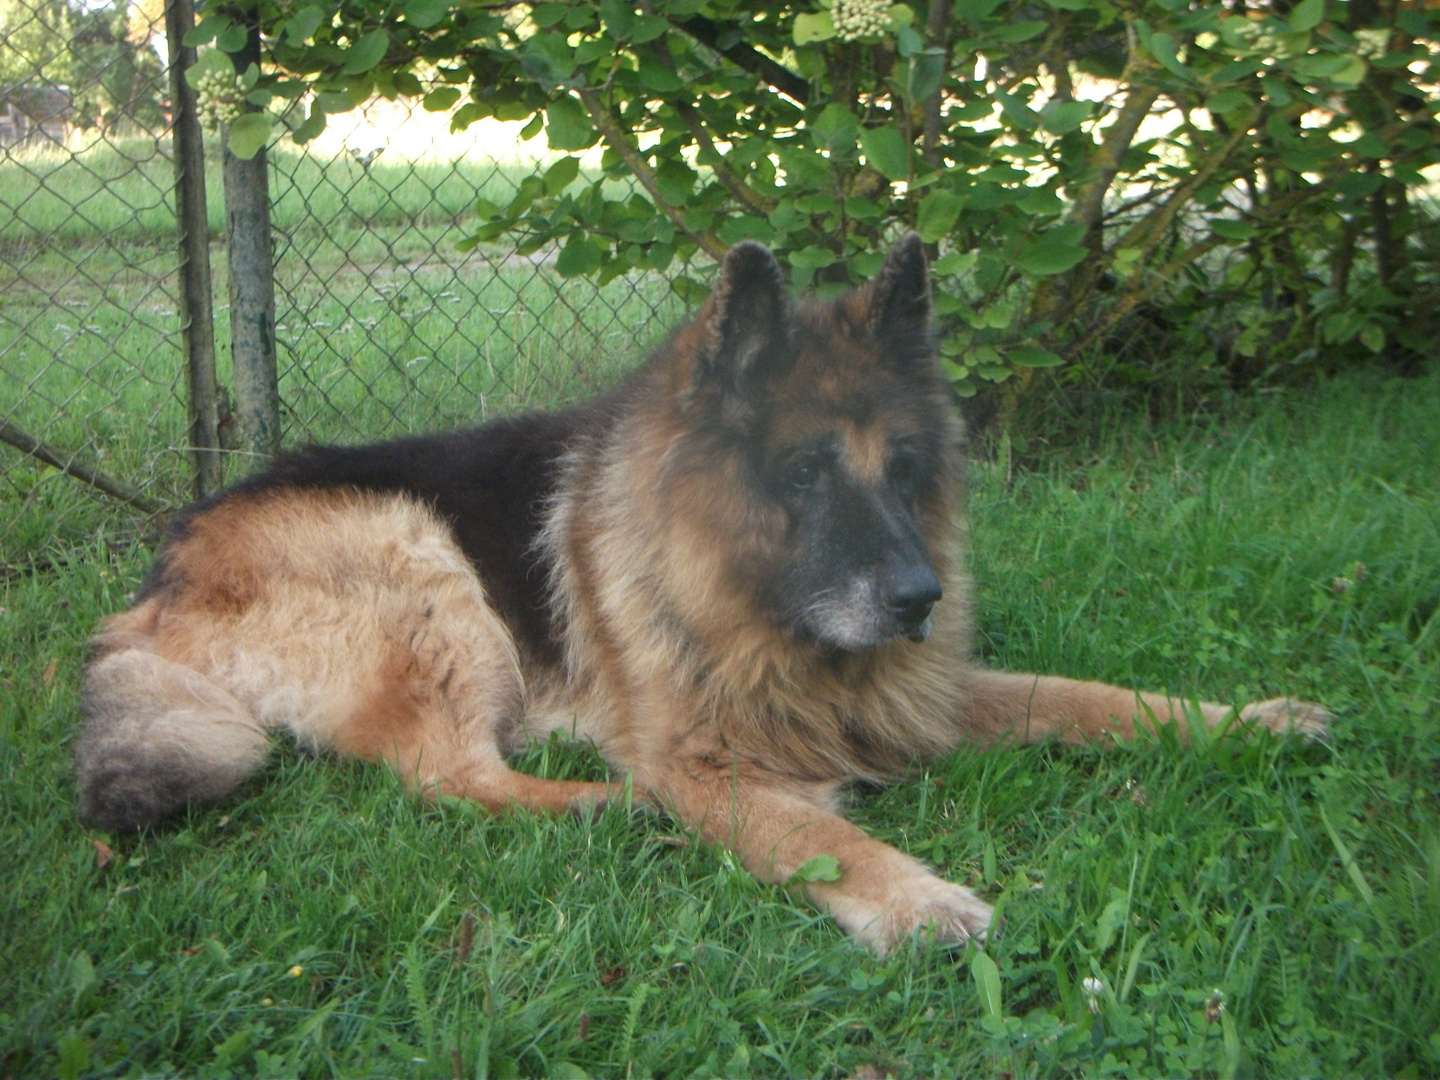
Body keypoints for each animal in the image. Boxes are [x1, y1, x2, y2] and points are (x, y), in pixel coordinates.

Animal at [70, 236, 1324, 956]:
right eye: (807, 474)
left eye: (905, 468)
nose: (920, 598)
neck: (741, 600)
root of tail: (158, 575)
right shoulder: (701, 756)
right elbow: (808, 831)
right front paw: (911, 898)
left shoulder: (918, 692)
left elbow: (1089, 696)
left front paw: (1242, 720)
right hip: (421, 567)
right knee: (451, 777)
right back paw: (604, 808)